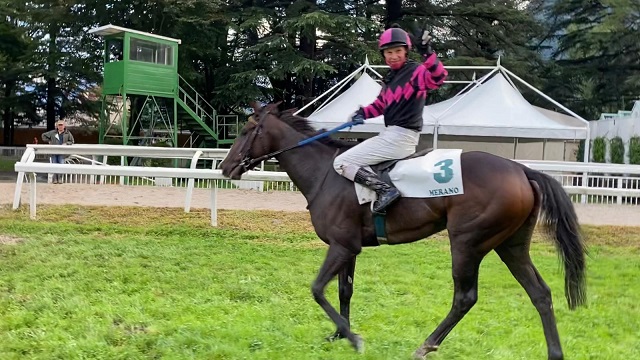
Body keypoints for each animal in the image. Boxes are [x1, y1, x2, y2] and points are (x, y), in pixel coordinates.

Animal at [220, 102, 584, 360]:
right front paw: (339, 334)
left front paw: (353, 338)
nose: (225, 168)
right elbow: (344, 291)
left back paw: (426, 345)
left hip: (467, 242)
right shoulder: (350, 247)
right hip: (510, 244)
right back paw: (555, 352)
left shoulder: (341, 245)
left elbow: (318, 289)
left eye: (245, 130)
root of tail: (521, 169)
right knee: (540, 293)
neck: (326, 173)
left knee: (465, 297)